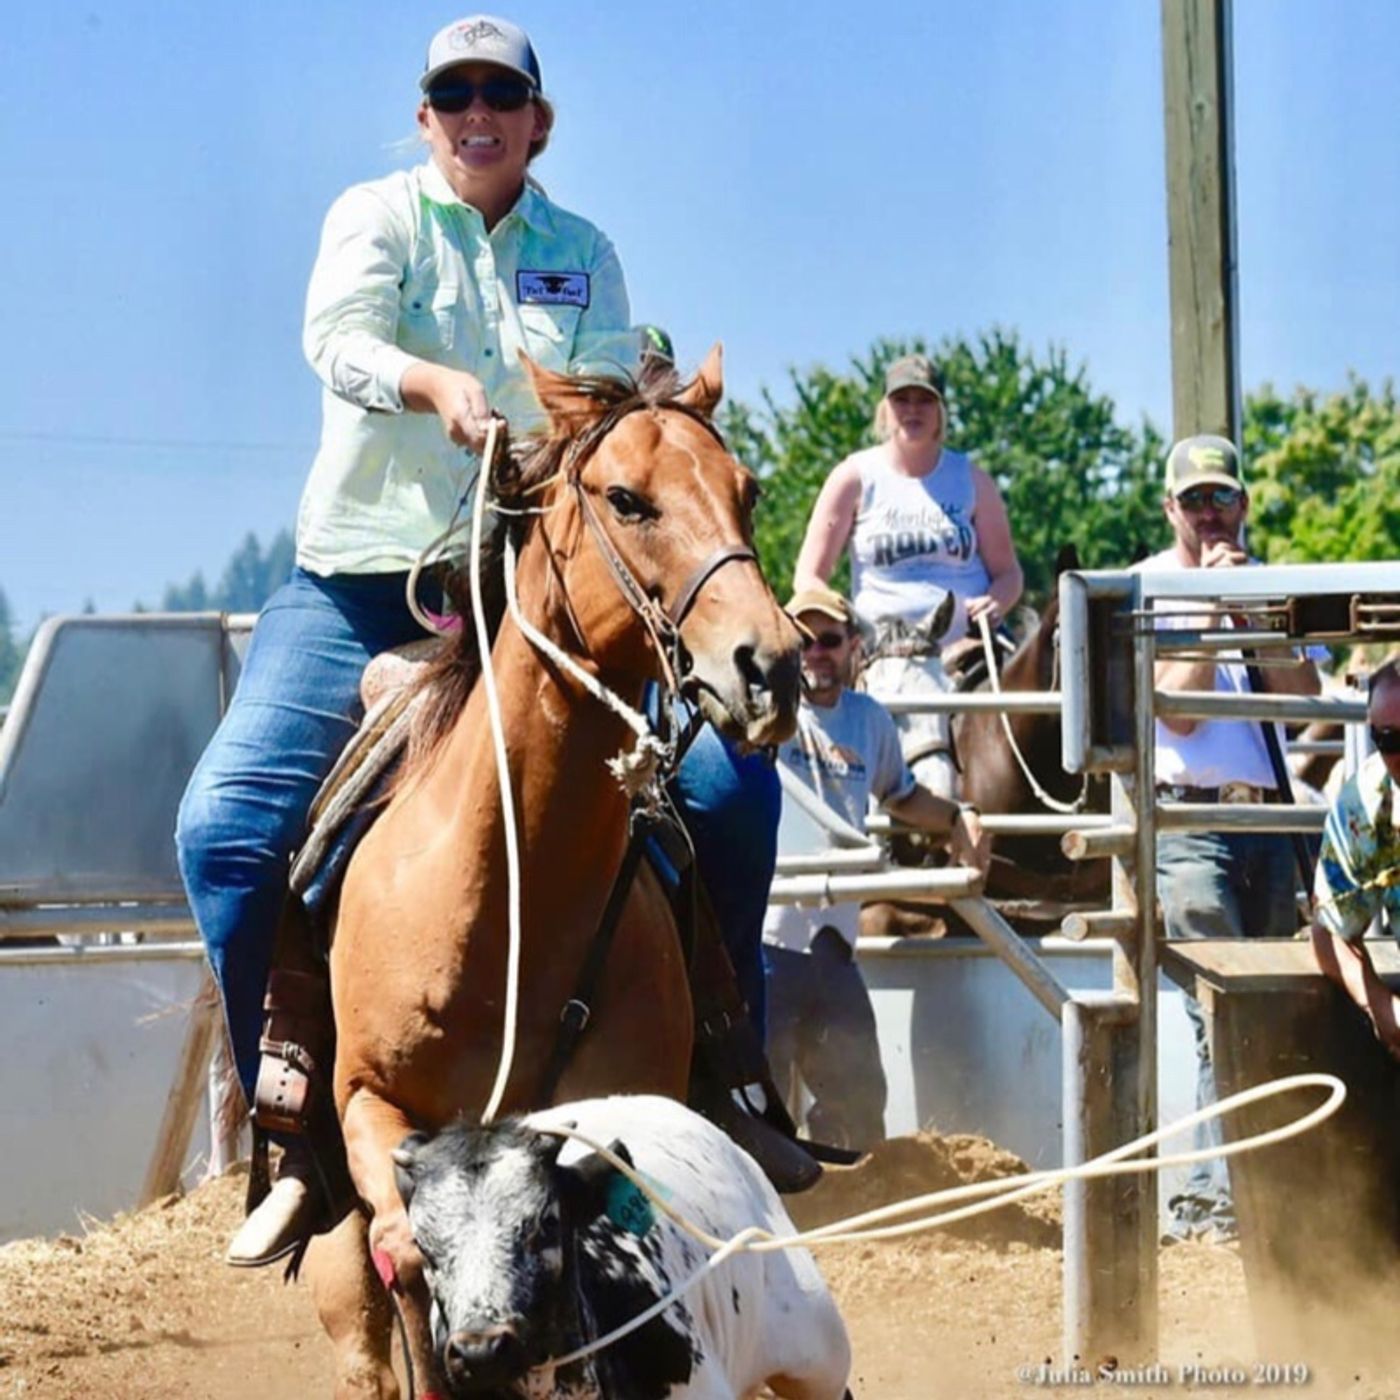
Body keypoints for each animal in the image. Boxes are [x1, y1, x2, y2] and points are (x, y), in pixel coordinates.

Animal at [308, 347, 812, 1388]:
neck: (503, 909)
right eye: (626, 497)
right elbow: (408, 1252)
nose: (772, 665)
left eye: (746, 491)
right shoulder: (370, 1104)